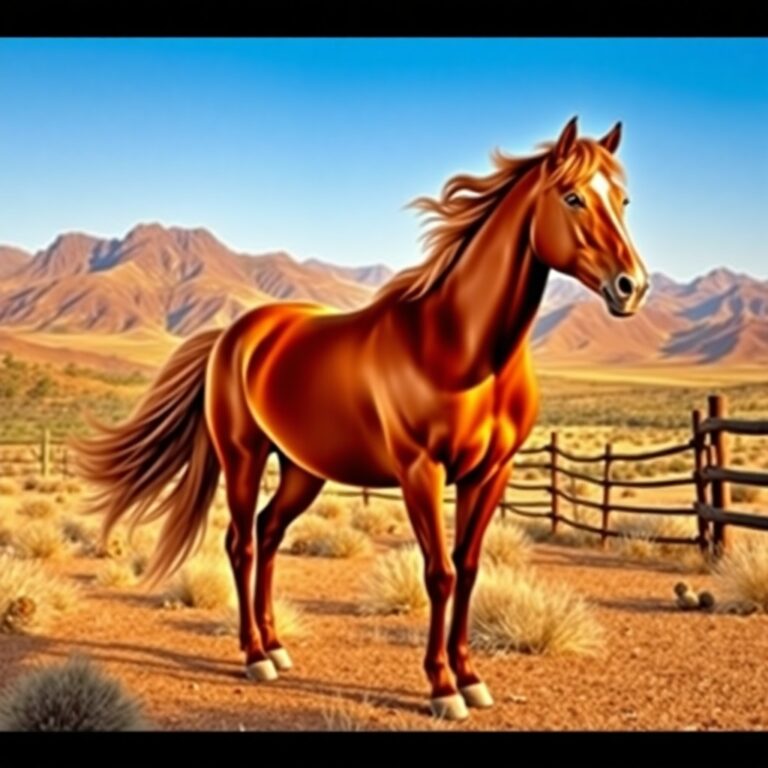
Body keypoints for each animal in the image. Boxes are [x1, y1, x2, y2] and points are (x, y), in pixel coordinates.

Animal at [73, 117, 649, 721]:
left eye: (624, 200)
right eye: (573, 197)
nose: (631, 287)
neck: (460, 348)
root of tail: (233, 335)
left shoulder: (491, 473)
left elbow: (468, 569)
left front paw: (471, 678)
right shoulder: (421, 471)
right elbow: (439, 573)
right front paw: (442, 687)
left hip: (303, 470)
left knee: (269, 533)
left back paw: (277, 648)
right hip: (244, 457)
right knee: (242, 543)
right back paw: (254, 656)